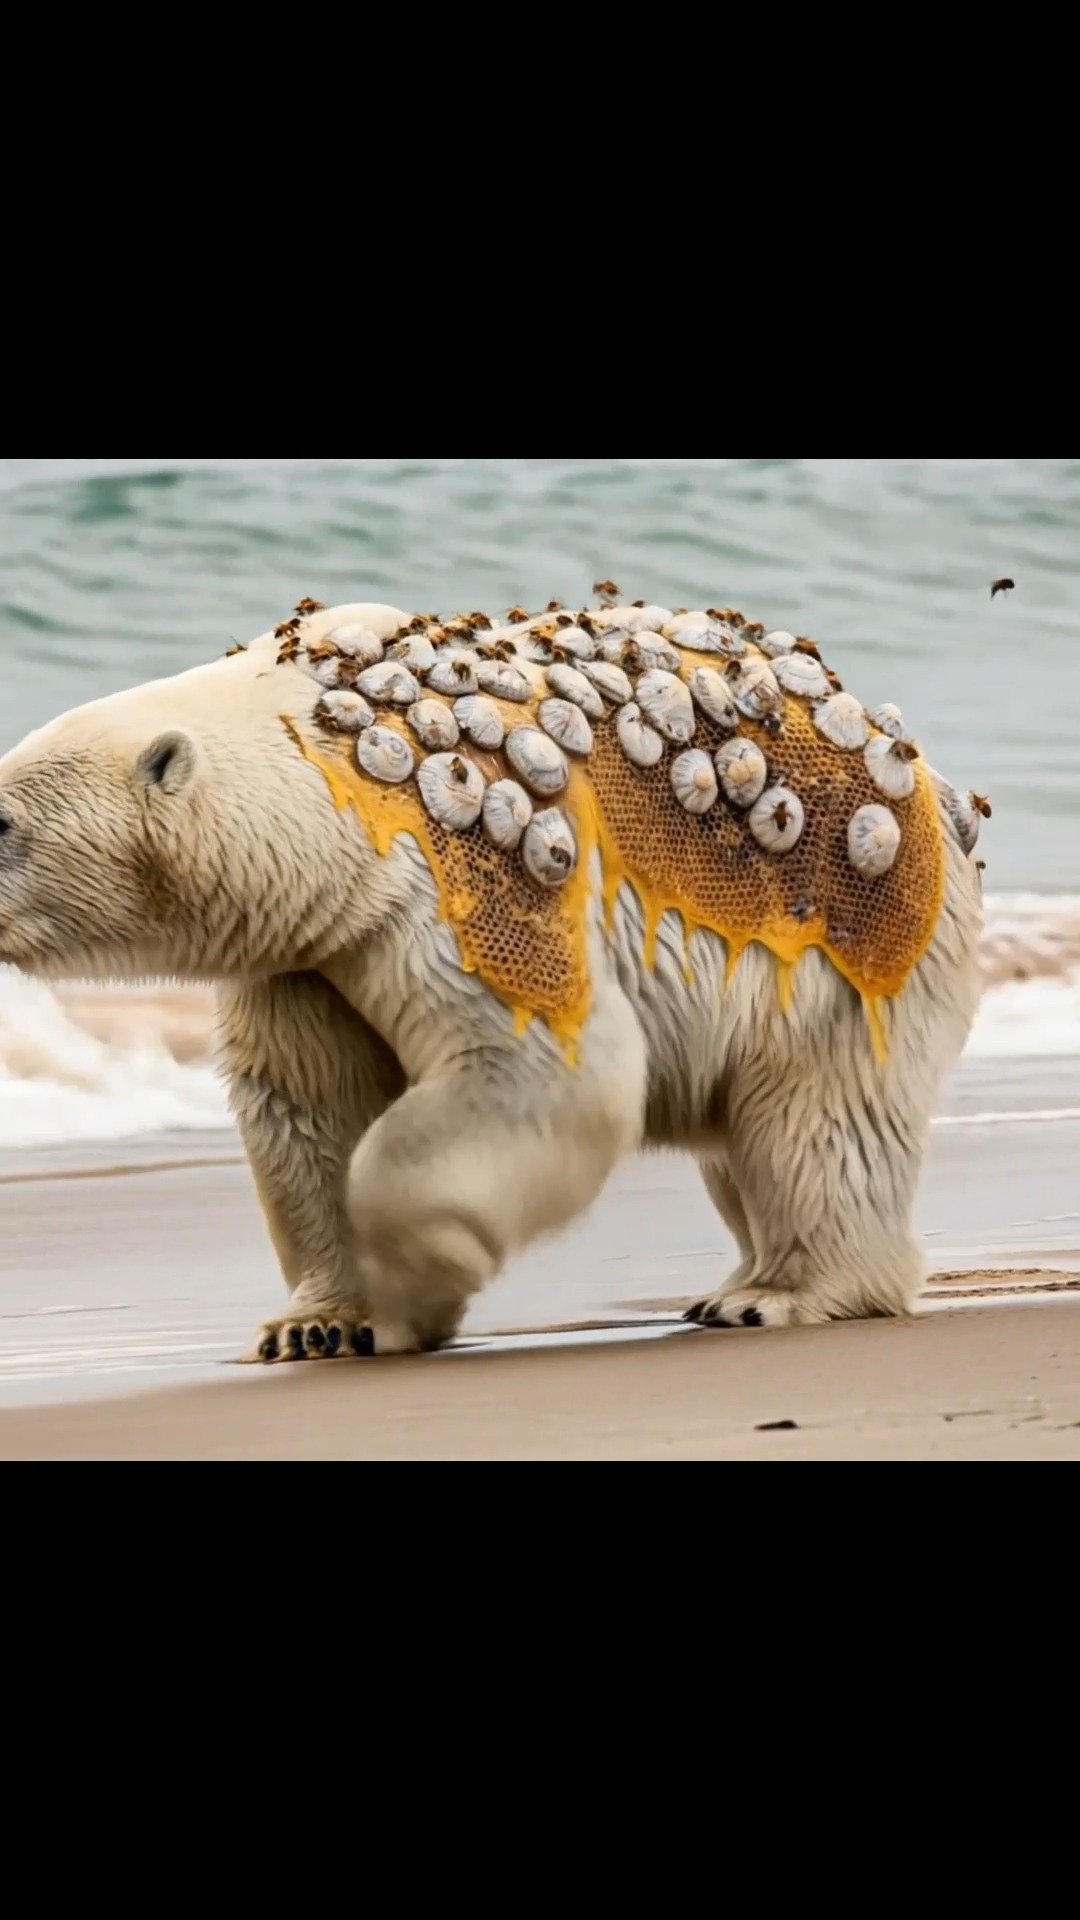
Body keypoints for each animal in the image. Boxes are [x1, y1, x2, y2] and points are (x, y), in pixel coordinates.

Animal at [0, 595, 986, 1361]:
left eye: (5, 825)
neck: (323, 764)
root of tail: (930, 779)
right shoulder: (305, 950)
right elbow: (308, 1102)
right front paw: (317, 1325)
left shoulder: (459, 876)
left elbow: (542, 1070)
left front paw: (417, 1281)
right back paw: (741, 1279)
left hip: (851, 932)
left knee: (818, 1120)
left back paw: (779, 1293)